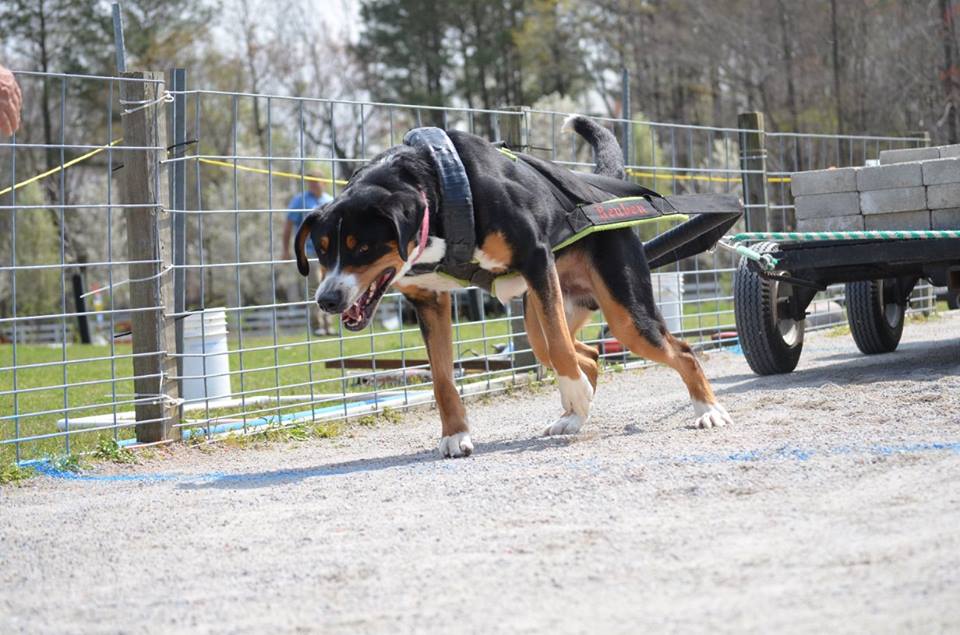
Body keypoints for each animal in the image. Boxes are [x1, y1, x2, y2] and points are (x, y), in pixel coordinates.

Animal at [296, 117, 732, 460]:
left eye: (362, 247)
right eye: (321, 249)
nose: (327, 299)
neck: (438, 189)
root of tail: (602, 189)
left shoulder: (536, 258)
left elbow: (560, 349)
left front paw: (574, 391)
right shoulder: (429, 300)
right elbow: (442, 379)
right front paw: (455, 435)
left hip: (622, 314)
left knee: (679, 352)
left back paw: (706, 410)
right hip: (540, 313)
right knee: (586, 354)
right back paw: (574, 416)